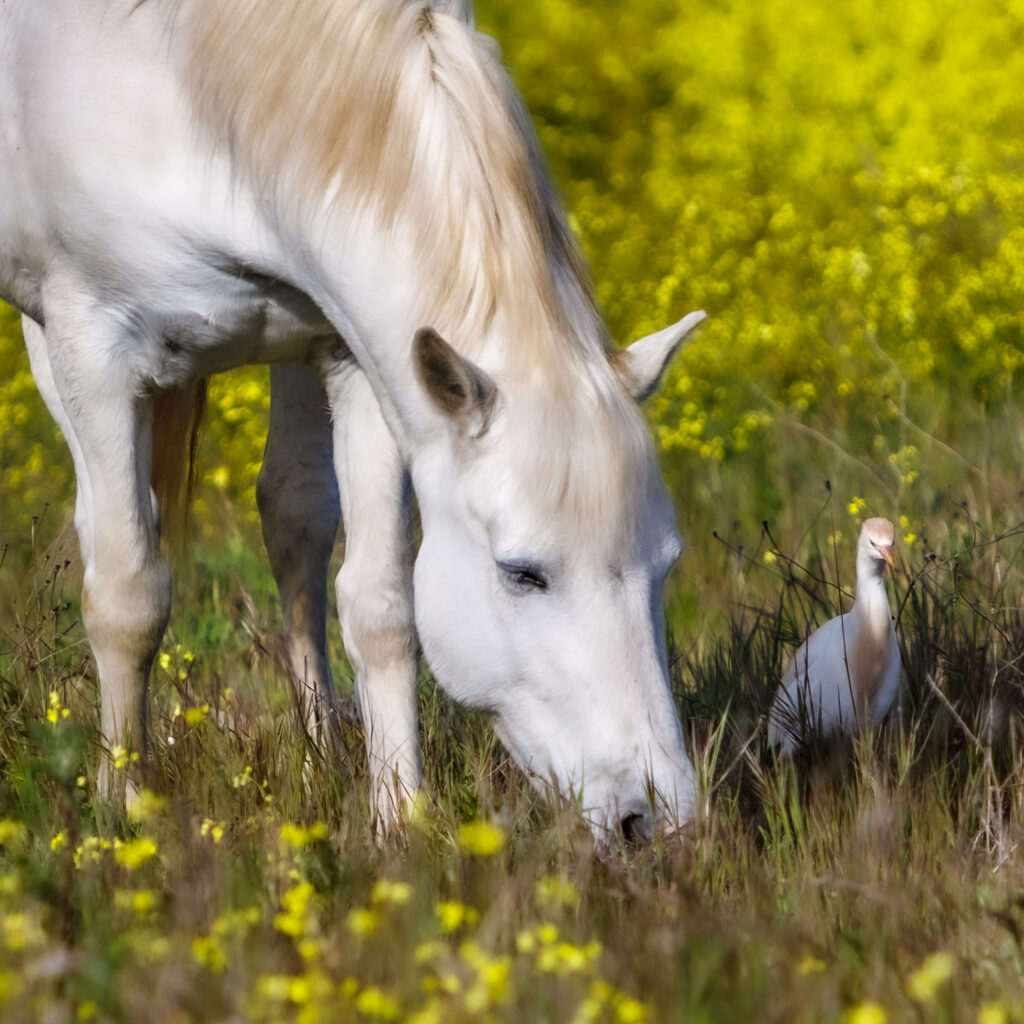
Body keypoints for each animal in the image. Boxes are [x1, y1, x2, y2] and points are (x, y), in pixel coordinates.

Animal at [0, 0, 705, 841]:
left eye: (668, 564)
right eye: (523, 573)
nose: (658, 817)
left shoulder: (356, 358)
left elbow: (380, 604)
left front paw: (400, 820)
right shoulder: (92, 349)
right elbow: (129, 597)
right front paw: (125, 810)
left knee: (292, 518)